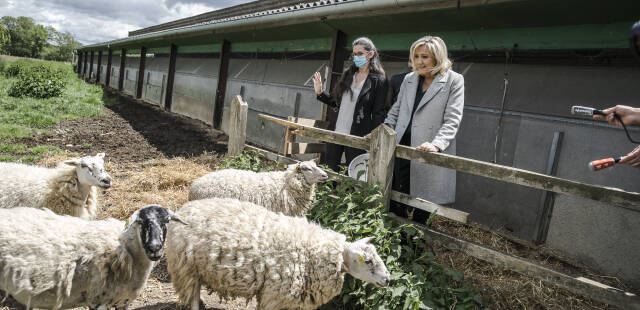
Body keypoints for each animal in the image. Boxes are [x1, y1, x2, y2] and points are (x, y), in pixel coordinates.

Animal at [165, 197, 390, 310]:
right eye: (368, 261)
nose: (388, 279)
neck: (313, 252)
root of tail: (184, 208)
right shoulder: (273, 295)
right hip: (186, 268)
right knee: (193, 298)